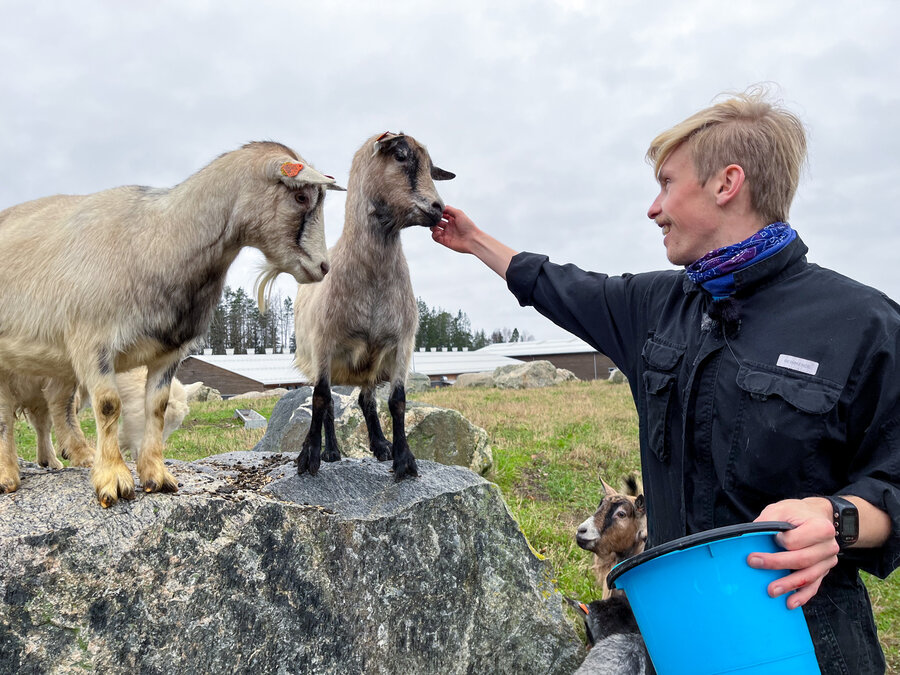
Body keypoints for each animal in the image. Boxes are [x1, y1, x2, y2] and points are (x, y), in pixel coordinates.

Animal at [0, 141, 340, 508]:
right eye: (302, 197)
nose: (323, 267)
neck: (162, 238)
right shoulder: (93, 342)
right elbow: (109, 406)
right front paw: (113, 479)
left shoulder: (168, 352)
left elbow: (156, 407)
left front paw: (156, 476)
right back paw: (8, 476)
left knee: (51, 406)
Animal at [286, 132, 458, 480]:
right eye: (401, 155)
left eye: (432, 169)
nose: (438, 209)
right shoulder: (324, 344)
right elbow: (321, 399)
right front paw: (309, 456)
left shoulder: (402, 343)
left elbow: (398, 401)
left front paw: (404, 459)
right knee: (329, 405)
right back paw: (332, 451)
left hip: (370, 362)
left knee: (366, 400)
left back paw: (380, 445)